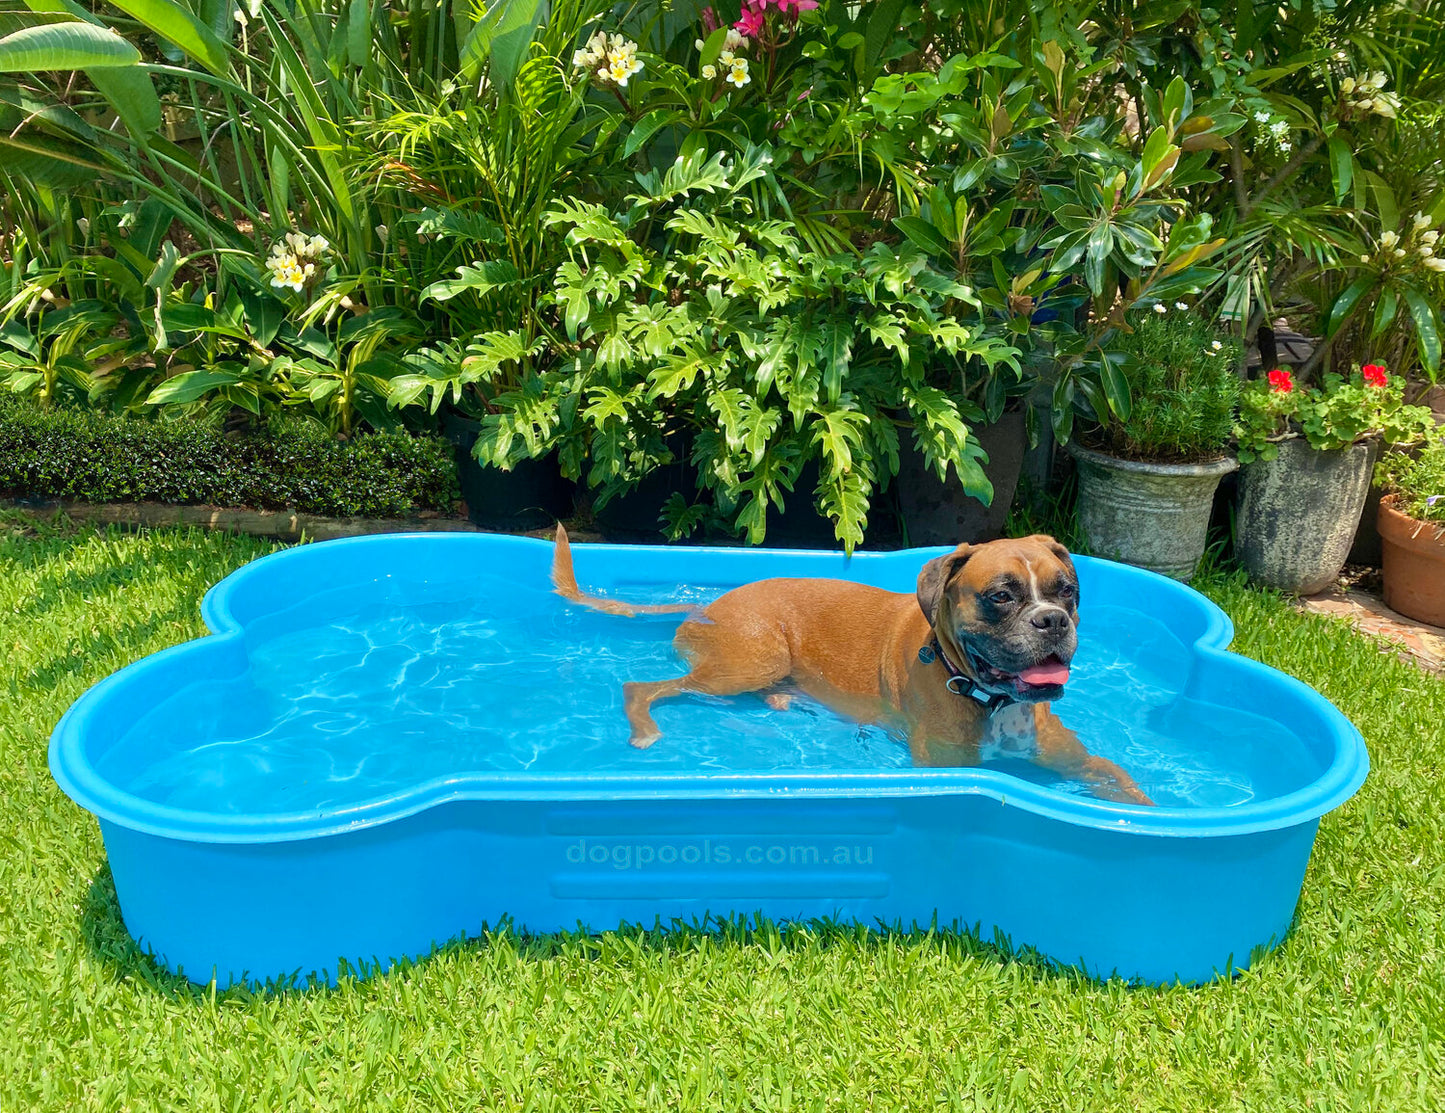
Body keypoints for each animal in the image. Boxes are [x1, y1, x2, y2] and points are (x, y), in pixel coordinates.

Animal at [549, 526, 1150, 803]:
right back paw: (647, 727)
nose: (1052, 621)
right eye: (1000, 597)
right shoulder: (941, 767)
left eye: (1066, 590)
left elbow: (1127, 787)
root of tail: (708, 606)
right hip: (750, 661)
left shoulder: (1085, 764)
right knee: (643, 687)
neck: (991, 699)